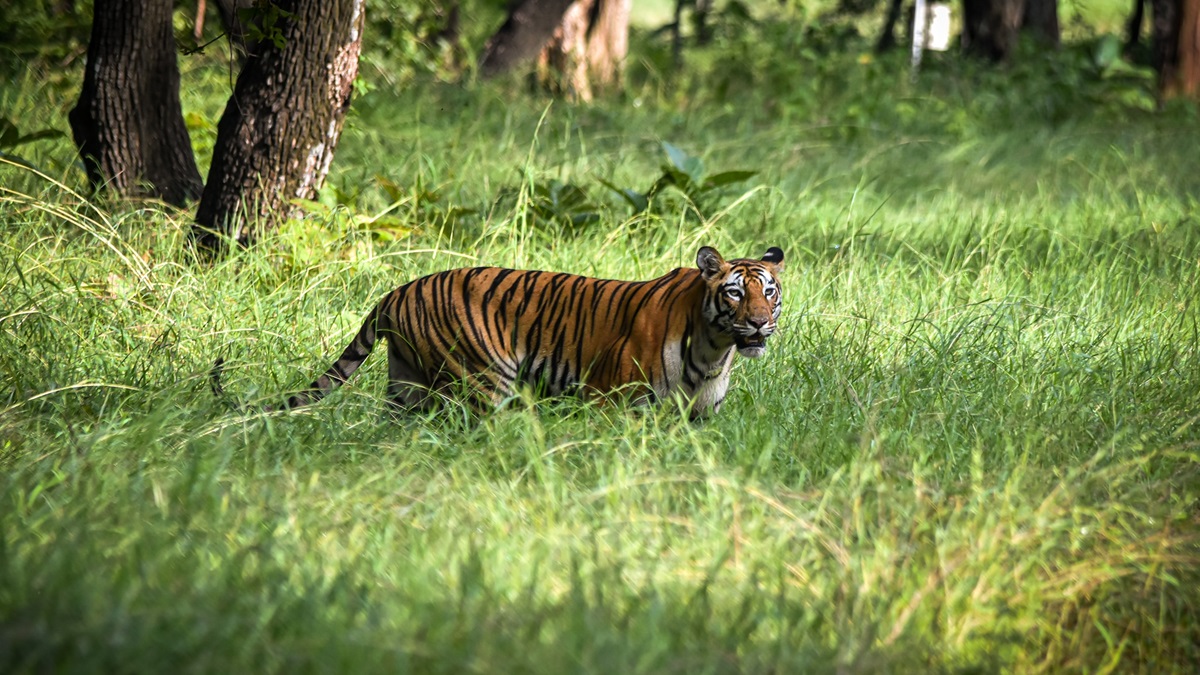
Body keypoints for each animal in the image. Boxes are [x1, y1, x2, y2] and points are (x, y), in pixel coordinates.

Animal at [211, 243, 782, 417]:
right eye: (734, 293)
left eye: (769, 292)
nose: (759, 322)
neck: (713, 348)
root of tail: (396, 291)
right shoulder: (610, 402)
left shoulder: (700, 417)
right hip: (484, 380)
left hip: (407, 383)